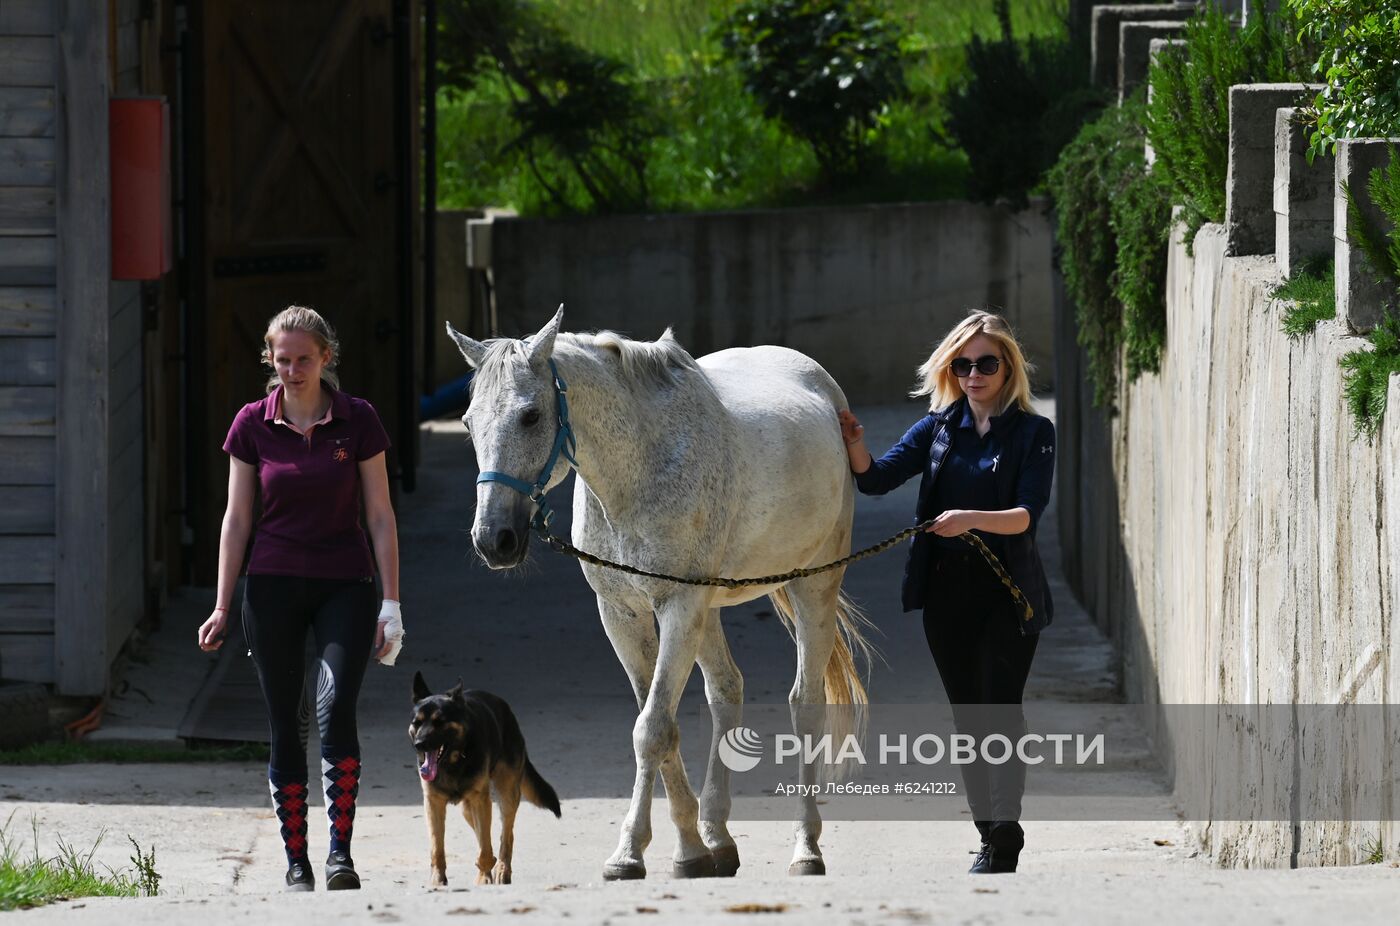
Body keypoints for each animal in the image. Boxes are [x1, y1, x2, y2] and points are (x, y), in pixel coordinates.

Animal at [408, 672, 560, 879]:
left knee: (506, 835)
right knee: (483, 835)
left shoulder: (481, 800)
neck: (455, 760)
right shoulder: (433, 803)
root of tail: (504, 707)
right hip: (468, 809)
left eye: (440, 722)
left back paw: (502, 869)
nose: (419, 744)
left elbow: (486, 852)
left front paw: (487, 870)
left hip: (507, 795)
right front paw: (438, 880)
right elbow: (437, 848)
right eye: (417, 723)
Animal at [448, 306, 868, 879]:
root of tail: (823, 386)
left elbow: (652, 729)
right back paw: (719, 837)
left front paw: (629, 853)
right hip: (710, 608)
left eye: (531, 416)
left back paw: (806, 848)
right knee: (727, 690)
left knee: (805, 705)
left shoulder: (677, 607)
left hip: (813, 587)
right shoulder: (622, 614)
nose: (494, 540)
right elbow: (659, 726)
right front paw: (690, 849)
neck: (639, 467)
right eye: (468, 423)